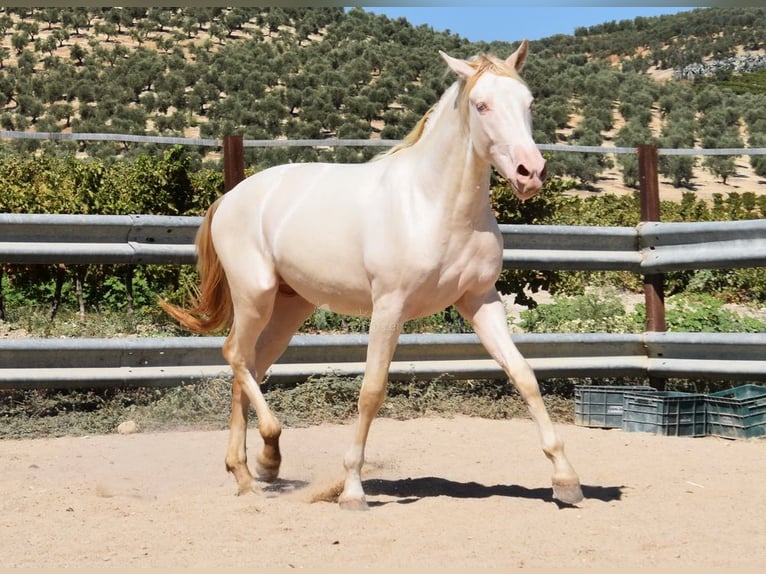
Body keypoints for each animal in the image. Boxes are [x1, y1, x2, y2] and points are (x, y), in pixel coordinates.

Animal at [160, 39, 584, 508]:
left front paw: (566, 480)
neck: (433, 204)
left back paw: (249, 472)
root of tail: (229, 198)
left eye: (529, 102)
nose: (531, 173)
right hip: (255, 294)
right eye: (482, 105)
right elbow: (372, 391)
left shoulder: (480, 300)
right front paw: (352, 490)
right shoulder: (389, 307)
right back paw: (267, 454)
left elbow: (524, 376)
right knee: (235, 355)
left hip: (290, 307)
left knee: (249, 367)